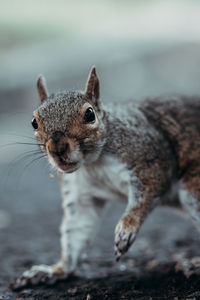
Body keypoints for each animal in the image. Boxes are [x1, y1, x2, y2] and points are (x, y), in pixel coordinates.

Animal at [13, 66, 200, 288]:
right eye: (34, 122)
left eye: (89, 114)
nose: (57, 148)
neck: (93, 163)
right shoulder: (80, 193)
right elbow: (77, 230)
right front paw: (55, 269)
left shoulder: (153, 160)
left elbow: (148, 193)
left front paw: (126, 228)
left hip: (193, 188)